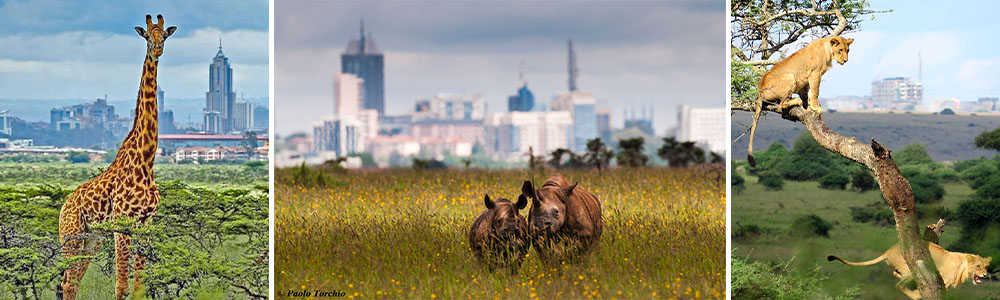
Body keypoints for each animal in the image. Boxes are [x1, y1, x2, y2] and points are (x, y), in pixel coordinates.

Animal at [58, 13, 177, 300]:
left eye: (164, 35)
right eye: (147, 36)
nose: (157, 50)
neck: (146, 160)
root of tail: (64, 206)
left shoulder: (145, 223)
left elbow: (139, 286)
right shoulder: (121, 224)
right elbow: (121, 286)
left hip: (91, 240)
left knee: (73, 282)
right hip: (71, 237)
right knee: (67, 282)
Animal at [748, 35, 856, 166]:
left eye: (848, 50)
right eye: (840, 50)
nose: (845, 60)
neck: (827, 51)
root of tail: (760, 88)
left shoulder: (809, 78)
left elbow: (808, 93)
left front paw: (809, 104)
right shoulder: (815, 73)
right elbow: (815, 92)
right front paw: (815, 106)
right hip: (789, 76)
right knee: (782, 104)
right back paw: (796, 101)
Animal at [828, 243, 992, 298]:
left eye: (985, 266)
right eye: (978, 266)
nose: (985, 274)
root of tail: (889, 250)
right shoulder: (942, 279)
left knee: (895, 274)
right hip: (911, 269)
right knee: (899, 286)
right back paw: (915, 295)